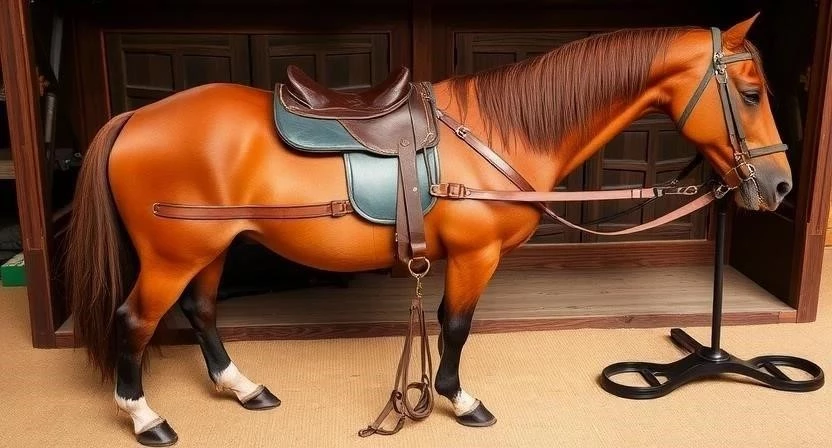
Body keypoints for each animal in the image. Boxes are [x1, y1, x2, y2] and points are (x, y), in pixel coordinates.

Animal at [65, 14, 791, 446]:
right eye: (751, 93)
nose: (780, 186)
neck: (501, 131)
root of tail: (134, 118)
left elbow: (448, 325)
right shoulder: (475, 255)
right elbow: (456, 326)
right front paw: (459, 400)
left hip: (210, 247)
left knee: (203, 312)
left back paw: (243, 389)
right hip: (173, 254)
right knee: (136, 321)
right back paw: (147, 417)